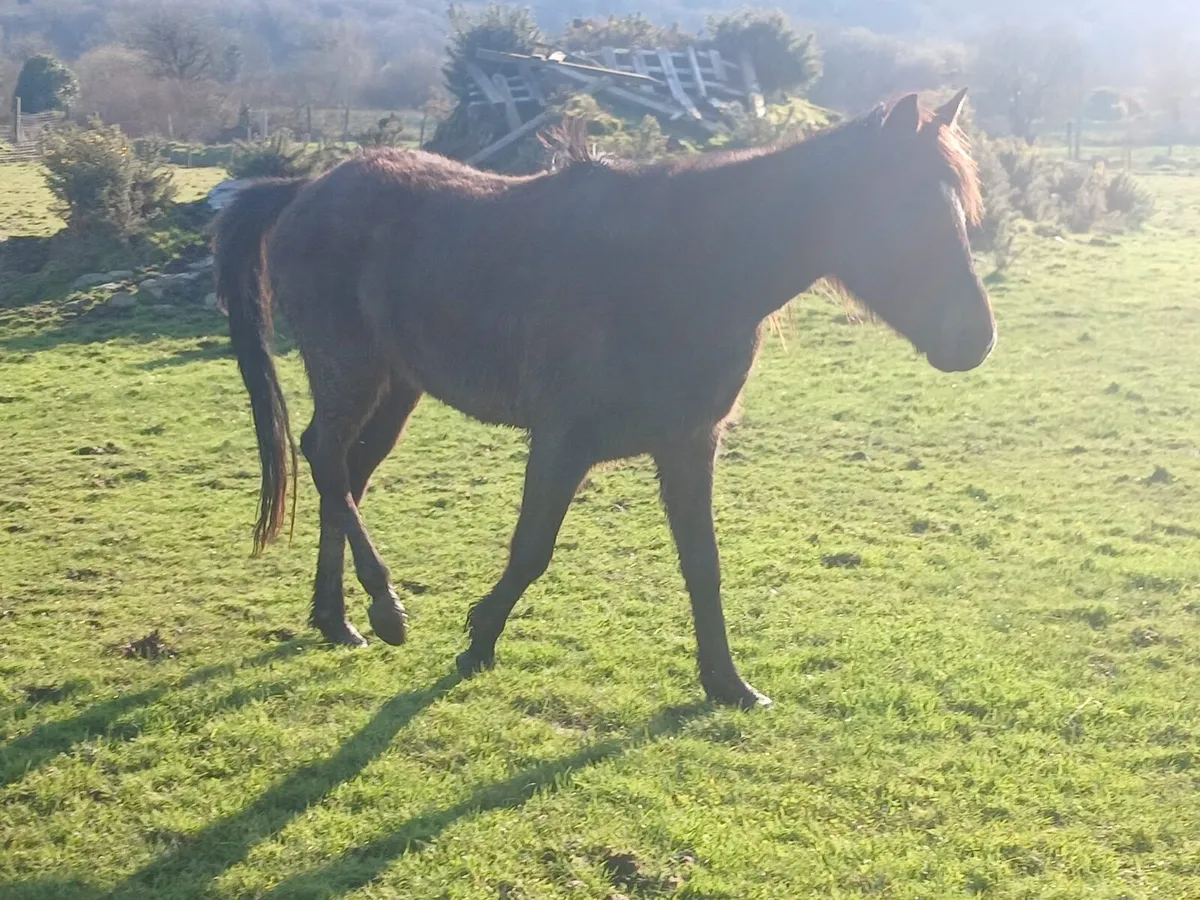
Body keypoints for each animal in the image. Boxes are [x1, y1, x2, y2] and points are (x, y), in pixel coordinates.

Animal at [213, 89, 994, 709]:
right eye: (906, 213)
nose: (976, 338)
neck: (679, 270)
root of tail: (304, 189)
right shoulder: (564, 439)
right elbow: (532, 550)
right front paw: (478, 641)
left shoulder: (689, 443)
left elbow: (704, 564)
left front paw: (728, 684)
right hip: (351, 371)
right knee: (325, 458)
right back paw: (383, 609)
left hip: (397, 387)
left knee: (346, 474)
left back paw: (337, 619)